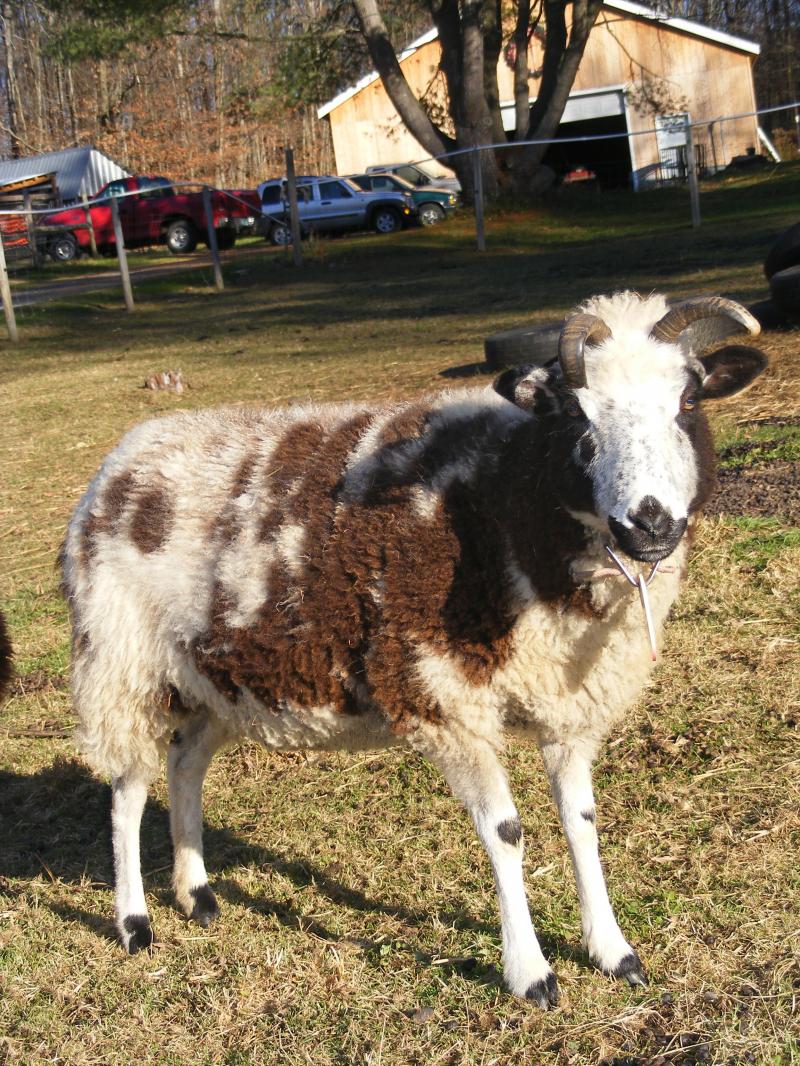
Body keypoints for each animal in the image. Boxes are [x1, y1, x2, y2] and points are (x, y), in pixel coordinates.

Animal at [60, 291, 766, 1006]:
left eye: (689, 401)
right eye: (576, 416)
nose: (650, 522)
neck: (507, 500)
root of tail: (118, 463)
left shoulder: (567, 703)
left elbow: (581, 821)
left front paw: (615, 953)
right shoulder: (443, 696)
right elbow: (505, 831)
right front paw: (531, 973)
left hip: (214, 678)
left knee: (184, 765)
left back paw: (197, 894)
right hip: (122, 661)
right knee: (127, 790)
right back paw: (134, 922)